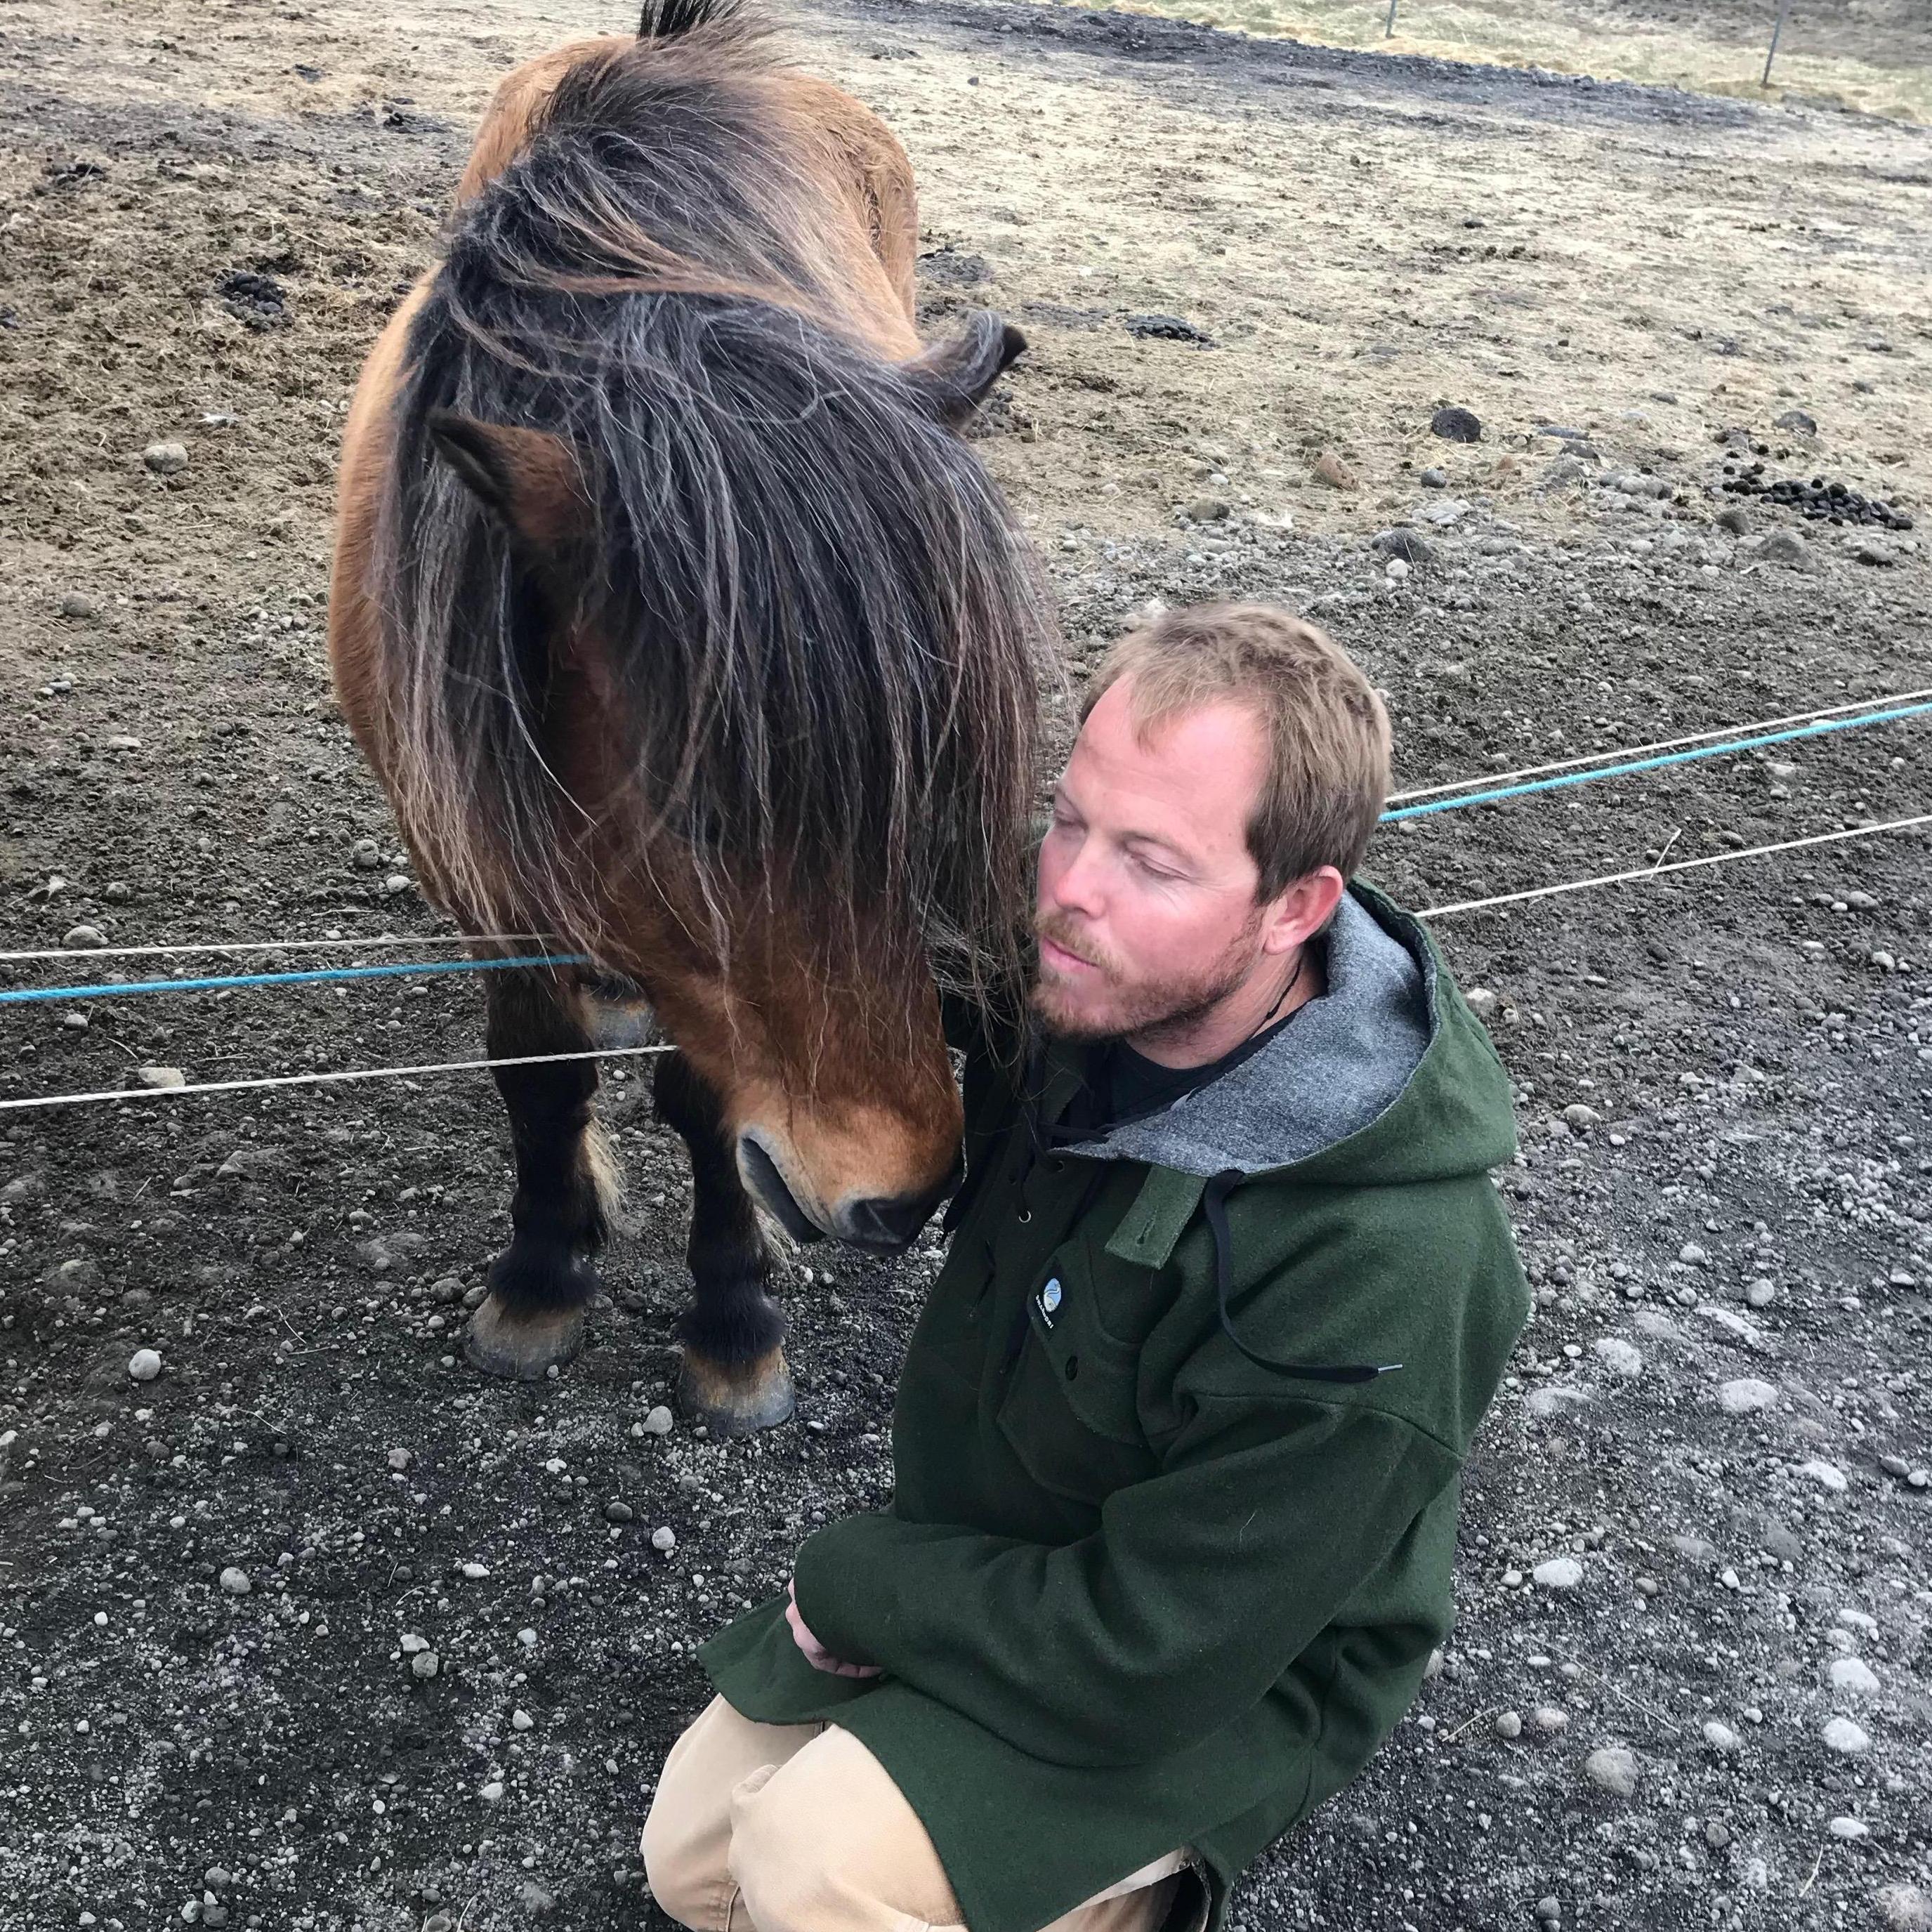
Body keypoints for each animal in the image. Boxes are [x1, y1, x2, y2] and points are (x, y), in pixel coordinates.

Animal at [328, 0, 1052, 1433]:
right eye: (707, 824)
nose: (905, 1194)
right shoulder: (475, 856)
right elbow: (536, 1067)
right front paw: (539, 1275)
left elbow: (707, 1098)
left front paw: (730, 1320)